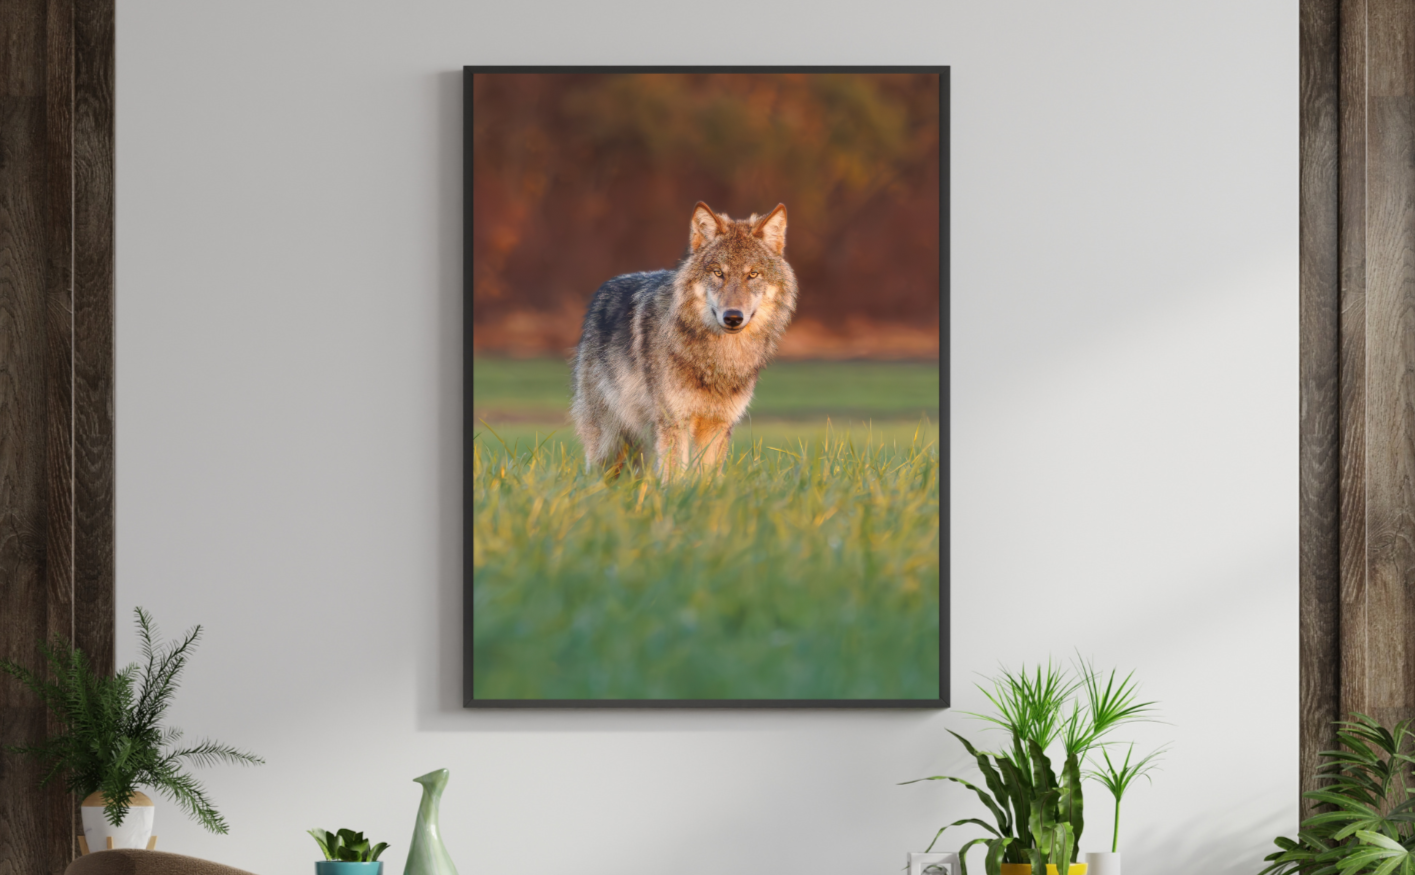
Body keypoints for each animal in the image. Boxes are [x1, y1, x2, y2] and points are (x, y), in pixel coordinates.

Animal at [571, 201, 797, 477]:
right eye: (718, 273)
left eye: (753, 274)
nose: (733, 317)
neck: (719, 360)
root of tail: (603, 289)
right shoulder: (674, 421)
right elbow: (674, 477)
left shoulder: (718, 424)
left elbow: (707, 478)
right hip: (610, 442)